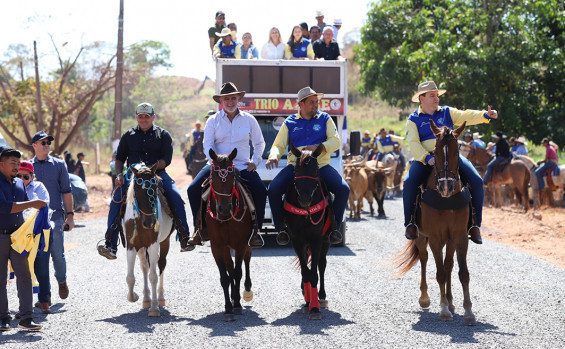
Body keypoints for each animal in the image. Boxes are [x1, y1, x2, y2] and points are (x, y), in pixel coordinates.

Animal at [124, 162, 173, 316]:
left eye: (155, 188)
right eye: (137, 190)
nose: (150, 223)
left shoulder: (153, 244)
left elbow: (153, 276)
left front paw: (155, 307)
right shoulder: (131, 245)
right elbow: (130, 277)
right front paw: (134, 297)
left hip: (164, 242)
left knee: (161, 264)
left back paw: (160, 297)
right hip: (141, 247)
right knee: (145, 266)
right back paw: (146, 298)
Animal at [205, 147, 253, 320]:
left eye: (233, 176)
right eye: (213, 176)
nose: (224, 209)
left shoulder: (241, 243)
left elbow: (238, 272)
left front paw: (237, 305)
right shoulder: (217, 246)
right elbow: (225, 276)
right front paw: (228, 307)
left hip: (247, 243)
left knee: (246, 260)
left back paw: (246, 290)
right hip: (226, 247)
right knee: (229, 267)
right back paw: (232, 297)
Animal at [396, 121, 476, 324]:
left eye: (457, 152)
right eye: (435, 153)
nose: (446, 187)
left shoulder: (459, 236)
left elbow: (463, 273)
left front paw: (468, 311)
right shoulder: (434, 238)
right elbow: (439, 273)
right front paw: (444, 310)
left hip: (450, 240)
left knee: (448, 265)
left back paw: (450, 301)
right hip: (420, 236)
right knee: (424, 259)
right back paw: (425, 298)